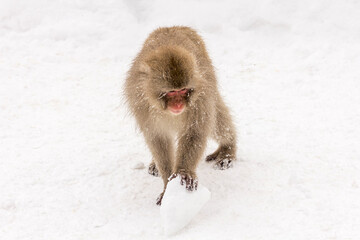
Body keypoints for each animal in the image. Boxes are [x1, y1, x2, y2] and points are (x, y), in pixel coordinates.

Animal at [125, 26, 238, 205]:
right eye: (171, 92)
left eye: (183, 90)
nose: (178, 105)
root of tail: (174, 26)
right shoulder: (141, 104)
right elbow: (157, 139)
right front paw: (167, 184)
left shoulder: (201, 98)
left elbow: (195, 132)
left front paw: (184, 173)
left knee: (216, 122)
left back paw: (227, 149)